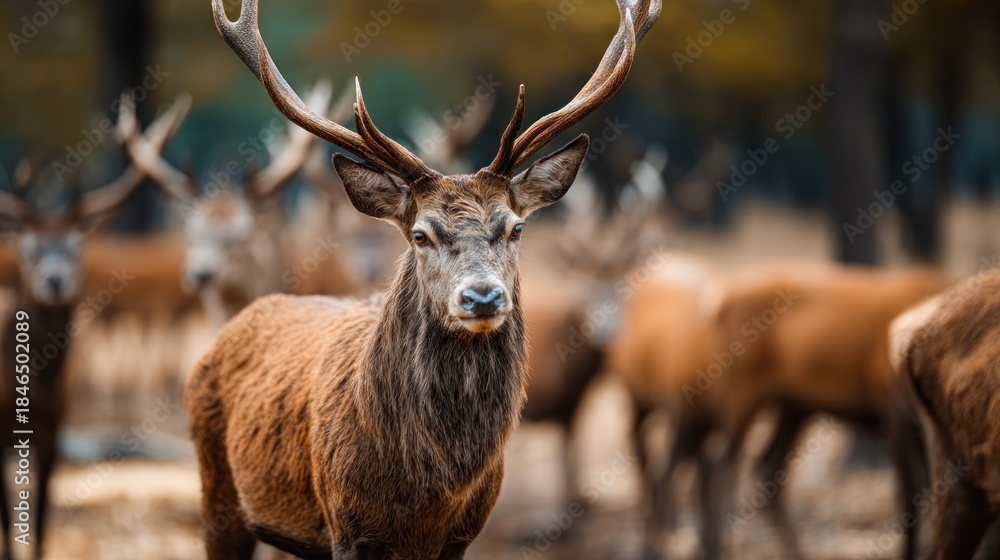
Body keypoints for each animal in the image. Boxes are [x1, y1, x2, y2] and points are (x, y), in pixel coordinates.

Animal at [0, 94, 187, 560]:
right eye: (29, 250)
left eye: (75, 247)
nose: (54, 281)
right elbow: (8, 523)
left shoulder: (55, 429)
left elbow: (41, 521)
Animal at [188, 0, 659, 557]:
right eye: (419, 234)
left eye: (516, 227)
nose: (482, 297)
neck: (429, 491)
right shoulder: (346, 526)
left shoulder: (462, 535)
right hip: (216, 490)